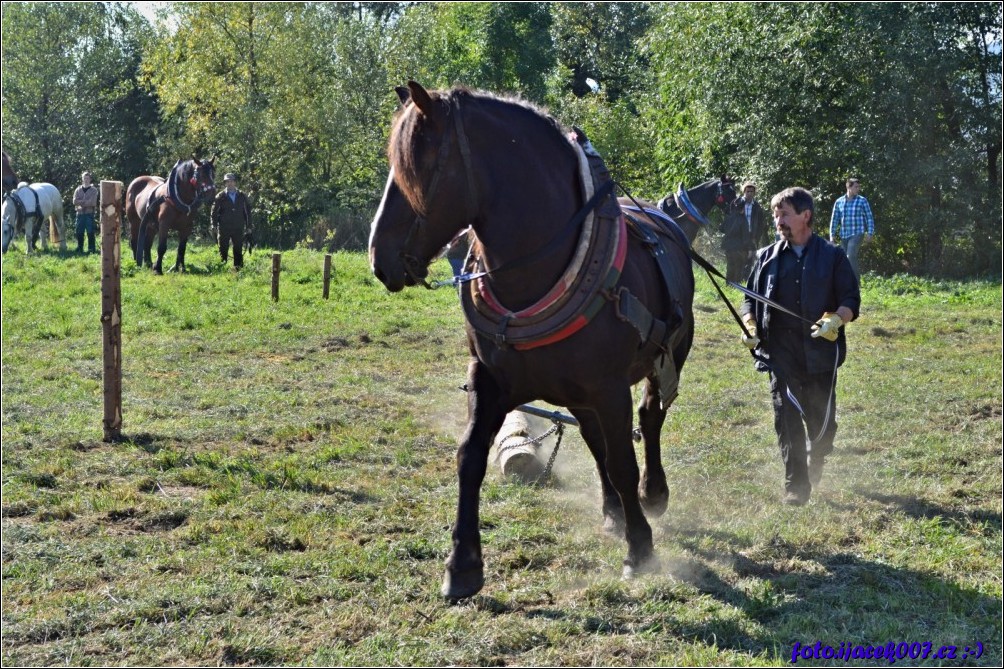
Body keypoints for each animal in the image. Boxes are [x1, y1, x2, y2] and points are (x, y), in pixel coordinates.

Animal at [373, 83, 726, 598]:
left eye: (419, 168)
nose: (379, 257)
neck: (535, 274)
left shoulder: (609, 387)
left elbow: (624, 461)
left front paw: (640, 548)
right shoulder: (489, 381)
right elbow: (470, 456)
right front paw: (462, 565)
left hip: (667, 356)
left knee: (650, 417)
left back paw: (651, 494)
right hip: (578, 392)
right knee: (596, 438)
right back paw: (611, 510)